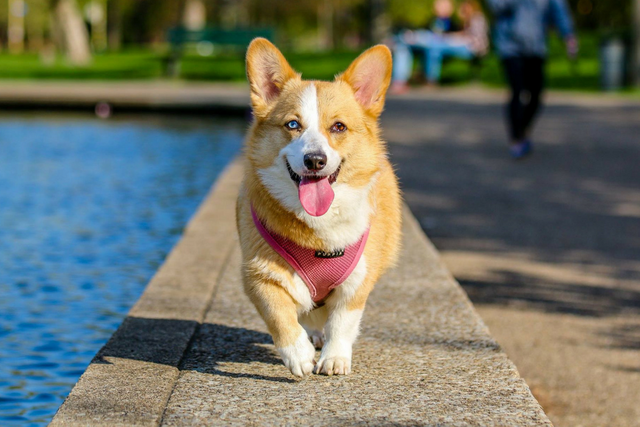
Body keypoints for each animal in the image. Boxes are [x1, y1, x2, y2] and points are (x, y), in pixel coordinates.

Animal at [238, 37, 400, 378]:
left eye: (338, 127)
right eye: (292, 124)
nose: (315, 160)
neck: (319, 228)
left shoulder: (357, 281)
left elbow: (342, 321)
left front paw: (334, 358)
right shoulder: (258, 275)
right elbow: (279, 315)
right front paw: (298, 354)